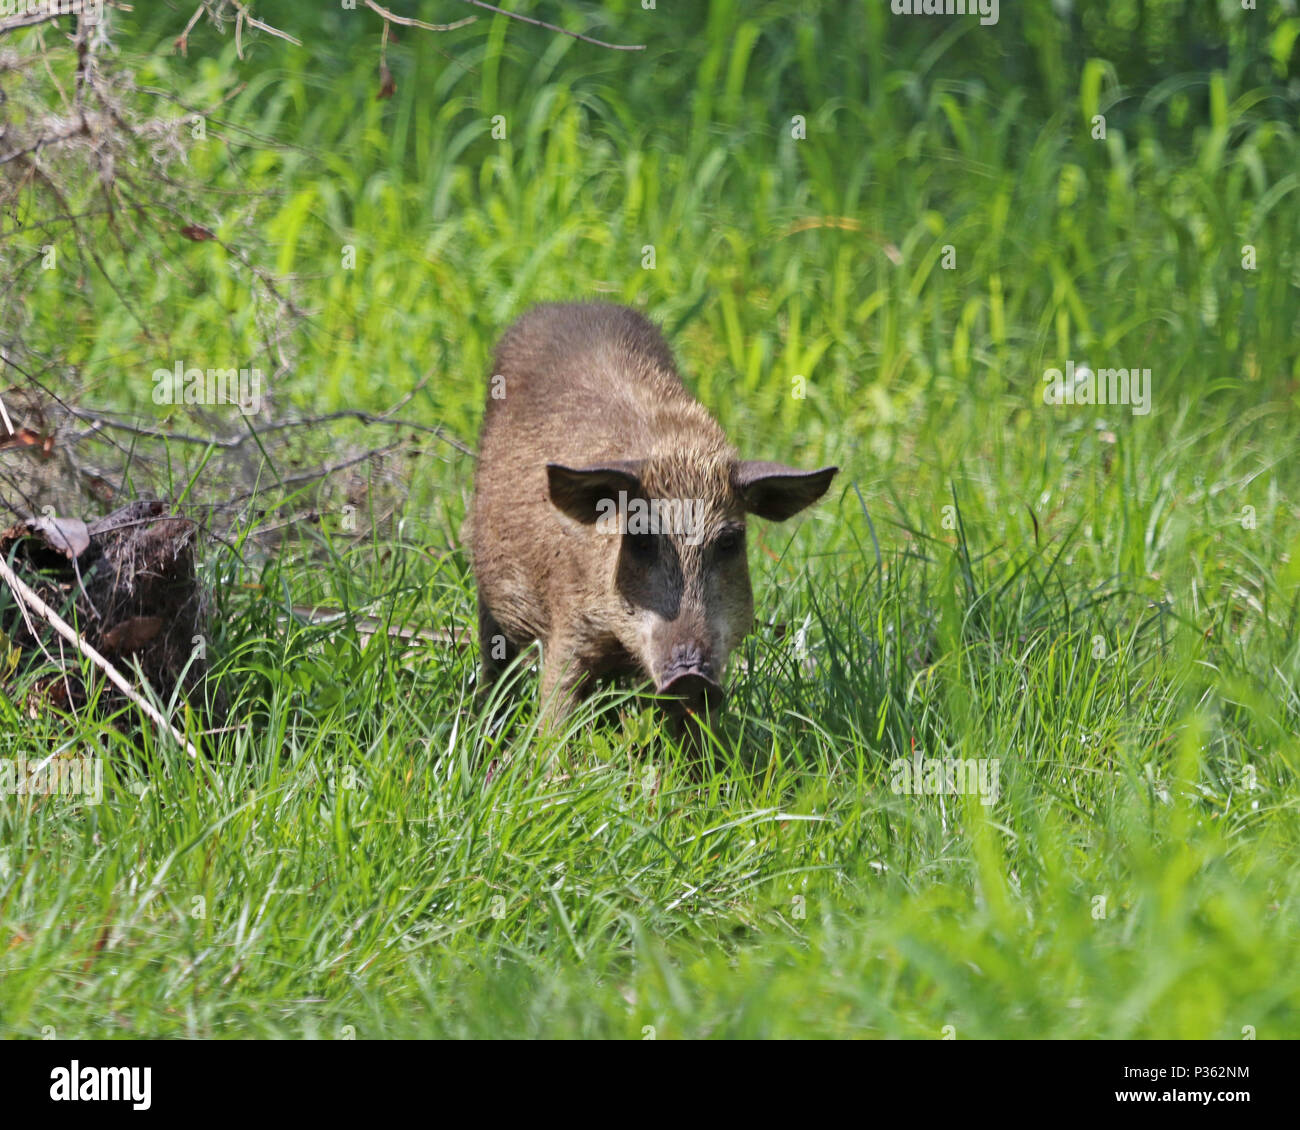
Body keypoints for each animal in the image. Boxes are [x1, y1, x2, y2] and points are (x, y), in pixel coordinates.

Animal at [467, 306, 832, 733]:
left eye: (730, 541)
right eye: (641, 539)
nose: (690, 676)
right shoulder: (567, 629)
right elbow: (557, 711)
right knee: (496, 668)